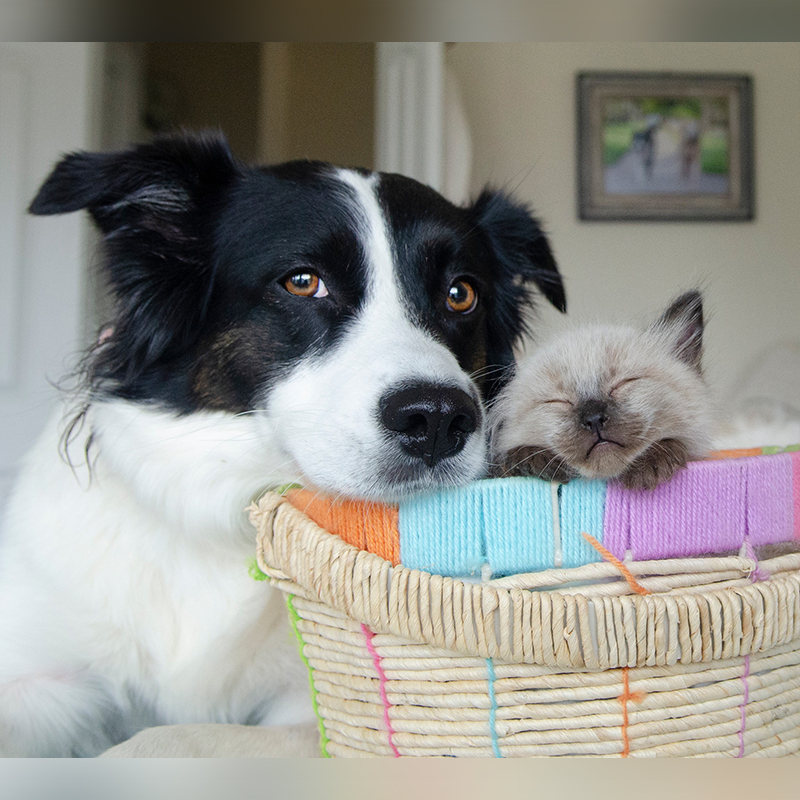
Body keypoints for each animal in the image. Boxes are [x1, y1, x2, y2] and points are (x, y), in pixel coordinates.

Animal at [0, 133, 564, 756]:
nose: (439, 419)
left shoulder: (313, 711)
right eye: (301, 281)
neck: (229, 508)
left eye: (461, 294)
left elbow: (169, 738)